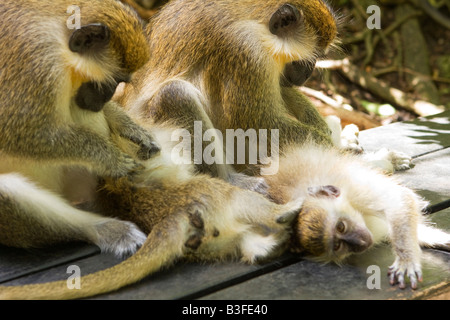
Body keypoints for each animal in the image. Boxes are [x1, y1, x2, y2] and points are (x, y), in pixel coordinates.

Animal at [0, 0, 162, 258]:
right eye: (115, 79)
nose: (105, 98)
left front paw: (129, 127)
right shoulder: (37, 67)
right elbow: (21, 134)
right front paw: (113, 159)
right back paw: (103, 228)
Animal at [264, 142, 450, 290]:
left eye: (341, 226)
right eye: (337, 245)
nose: (360, 243)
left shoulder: (355, 190)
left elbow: (398, 199)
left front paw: (406, 260)